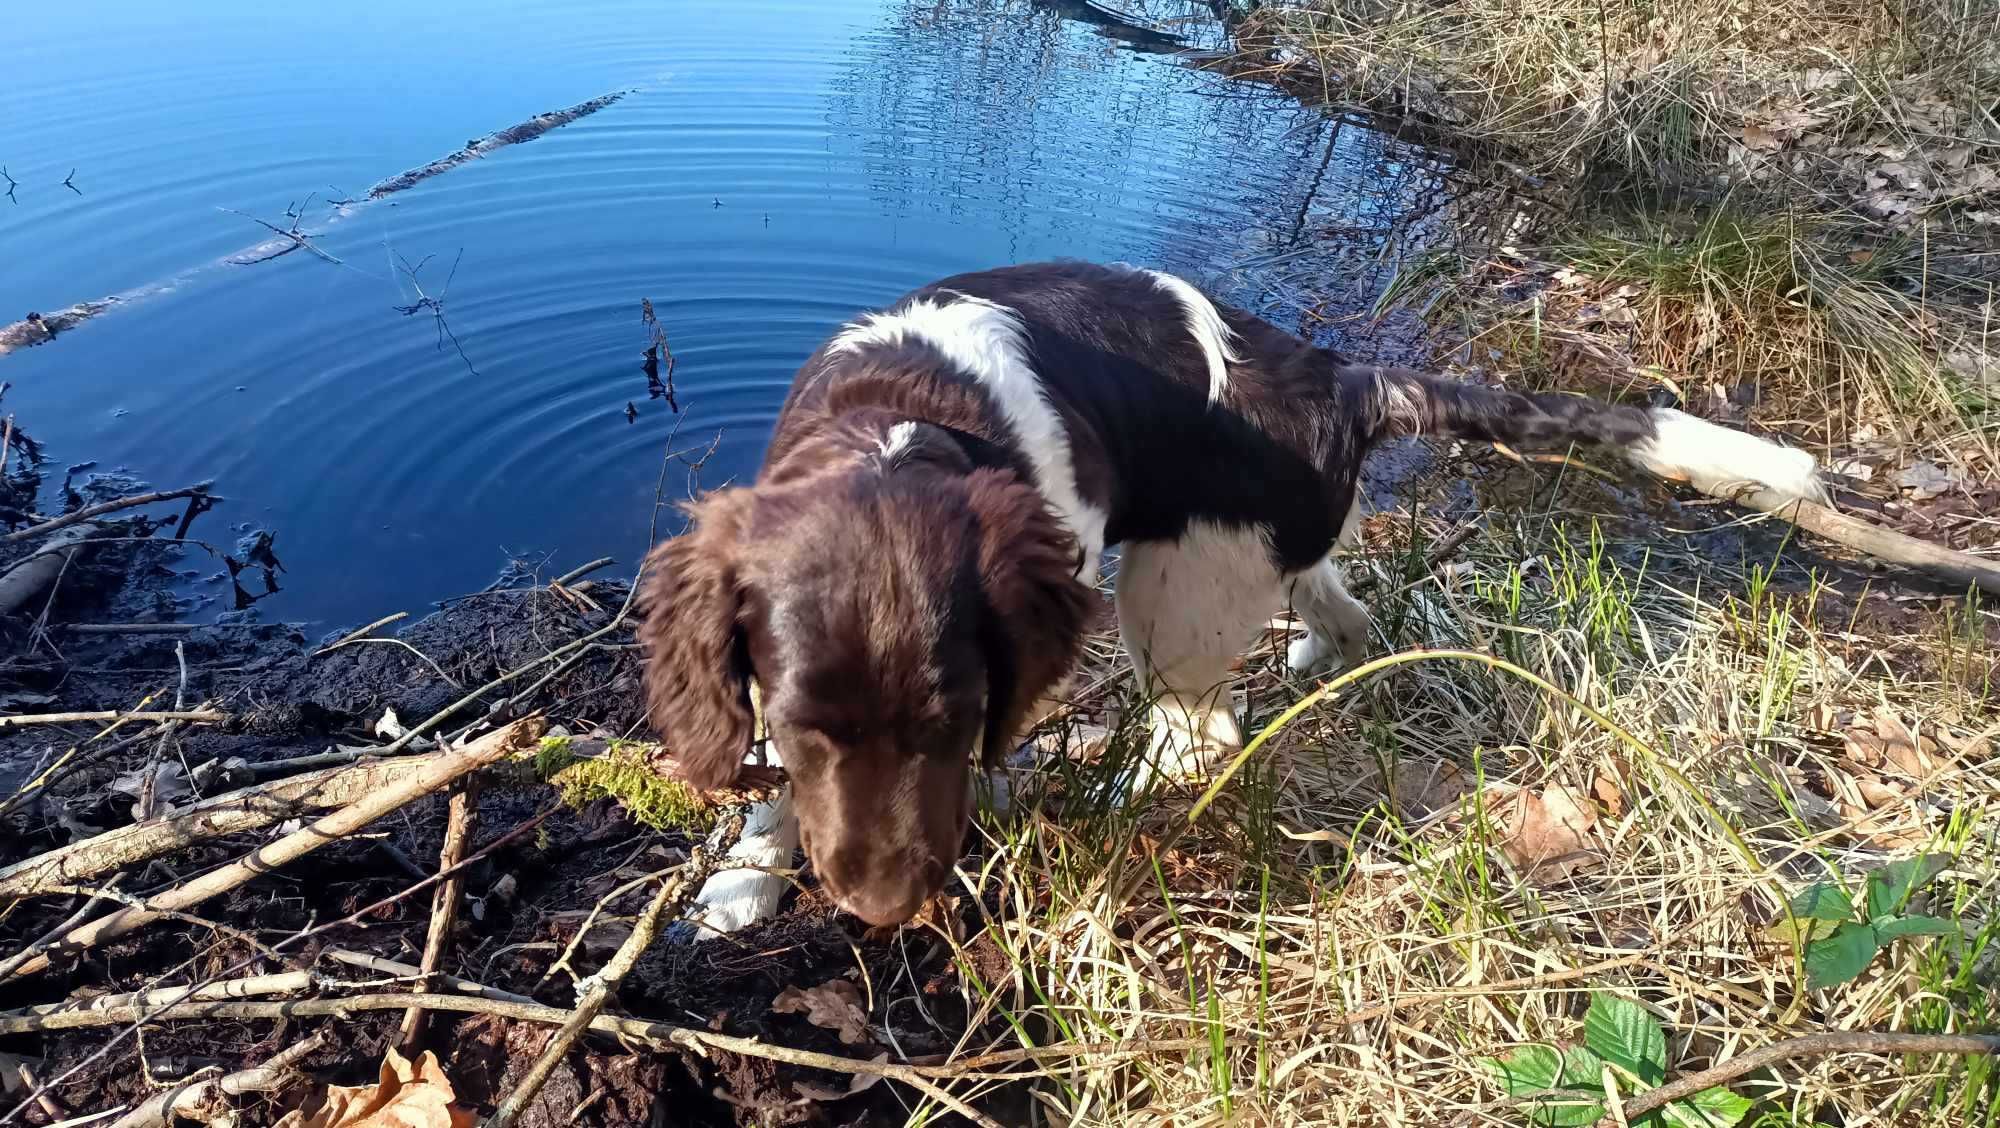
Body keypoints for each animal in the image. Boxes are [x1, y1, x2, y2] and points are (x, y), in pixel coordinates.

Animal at [636, 260, 1832, 928]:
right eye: (804, 728)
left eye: (956, 719)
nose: (885, 909)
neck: (900, 423)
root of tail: (1346, 379)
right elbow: (776, 785)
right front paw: (746, 877)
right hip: (1262, 548)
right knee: (1343, 613)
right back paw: (1321, 660)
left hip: (1172, 591)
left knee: (1203, 727)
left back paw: (1121, 785)